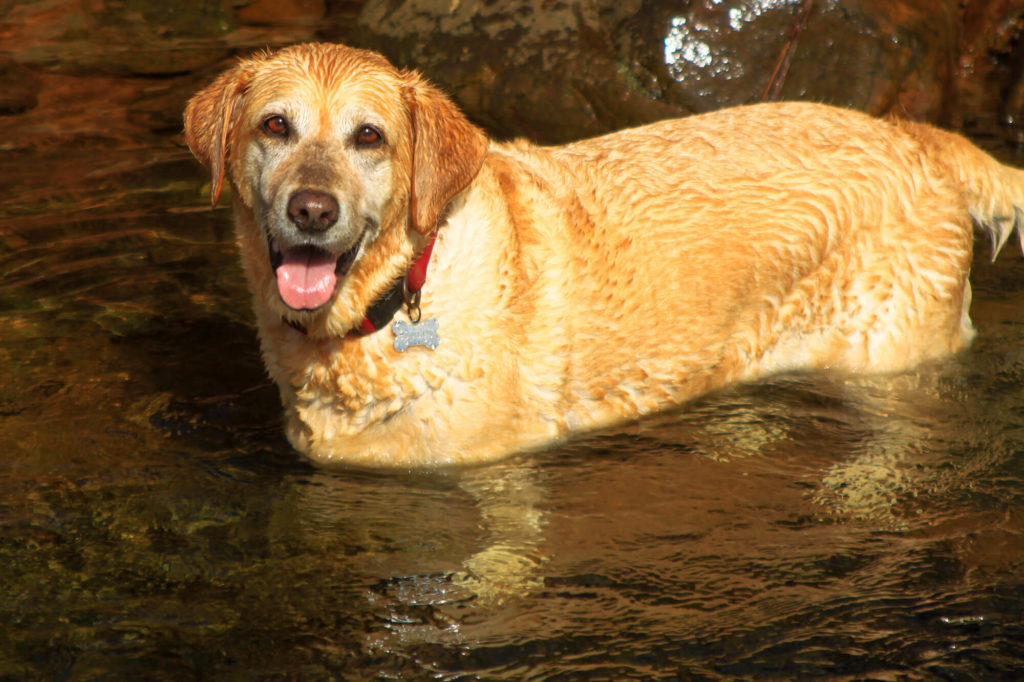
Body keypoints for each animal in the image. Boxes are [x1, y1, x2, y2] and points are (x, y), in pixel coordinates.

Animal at [184, 43, 1024, 466]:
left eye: (369, 137)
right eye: (275, 126)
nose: (311, 210)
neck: (392, 301)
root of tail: (914, 137)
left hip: (892, 359)